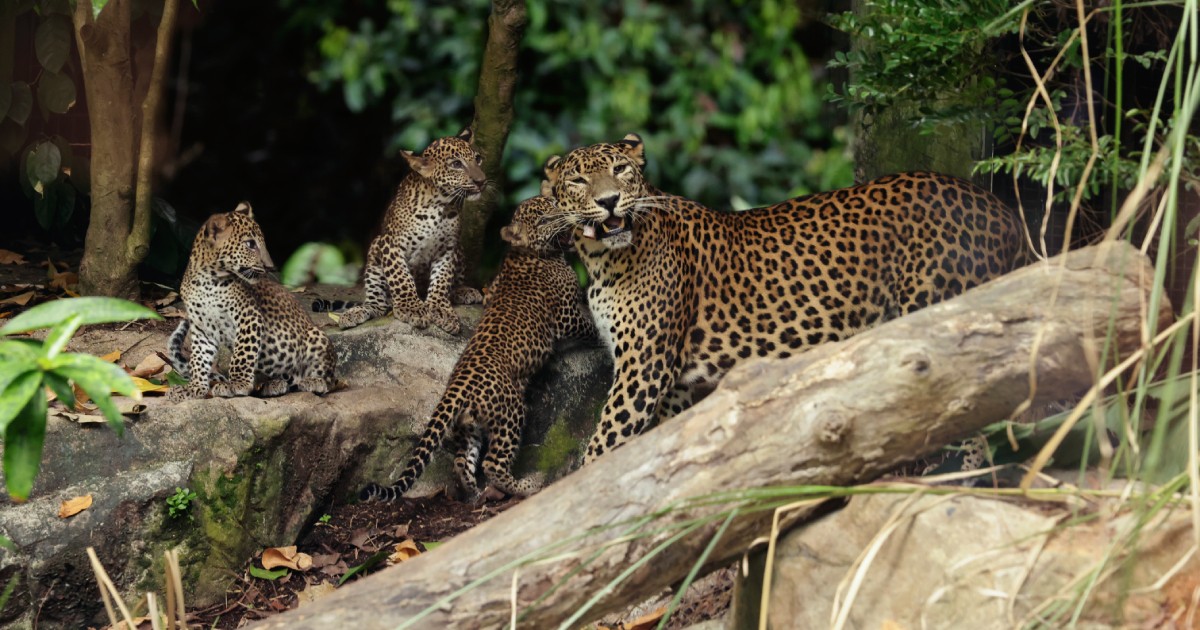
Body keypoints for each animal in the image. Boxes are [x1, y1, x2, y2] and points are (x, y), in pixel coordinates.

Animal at [167, 202, 336, 401]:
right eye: (250, 244)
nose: (270, 267)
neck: (207, 280)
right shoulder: (203, 328)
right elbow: (198, 360)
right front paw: (194, 389)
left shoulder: (249, 315)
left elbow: (242, 354)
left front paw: (236, 384)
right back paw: (273, 384)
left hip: (315, 338)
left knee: (329, 379)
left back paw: (313, 381)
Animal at [336, 128, 487, 335]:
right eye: (456, 164)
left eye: (478, 159)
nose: (481, 181)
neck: (440, 205)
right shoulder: (390, 244)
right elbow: (401, 277)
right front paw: (412, 308)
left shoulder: (448, 248)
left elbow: (442, 279)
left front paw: (440, 309)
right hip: (374, 251)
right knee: (378, 305)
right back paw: (355, 313)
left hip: (460, 249)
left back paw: (463, 291)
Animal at [360, 195, 597, 501]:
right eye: (545, 219)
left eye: (555, 204)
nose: (567, 215)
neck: (526, 253)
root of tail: (457, 386)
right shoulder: (567, 316)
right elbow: (587, 326)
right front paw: (600, 335)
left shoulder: (490, 291)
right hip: (511, 412)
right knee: (492, 463)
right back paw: (525, 487)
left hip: (467, 426)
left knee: (463, 462)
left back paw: (473, 493)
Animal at [539, 133, 1027, 463]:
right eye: (578, 179)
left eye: (621, 170)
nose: (609, 200)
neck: (604, 260)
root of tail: (1001, 210)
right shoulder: (672, 382)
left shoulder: (643, 368)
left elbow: (603, 447)